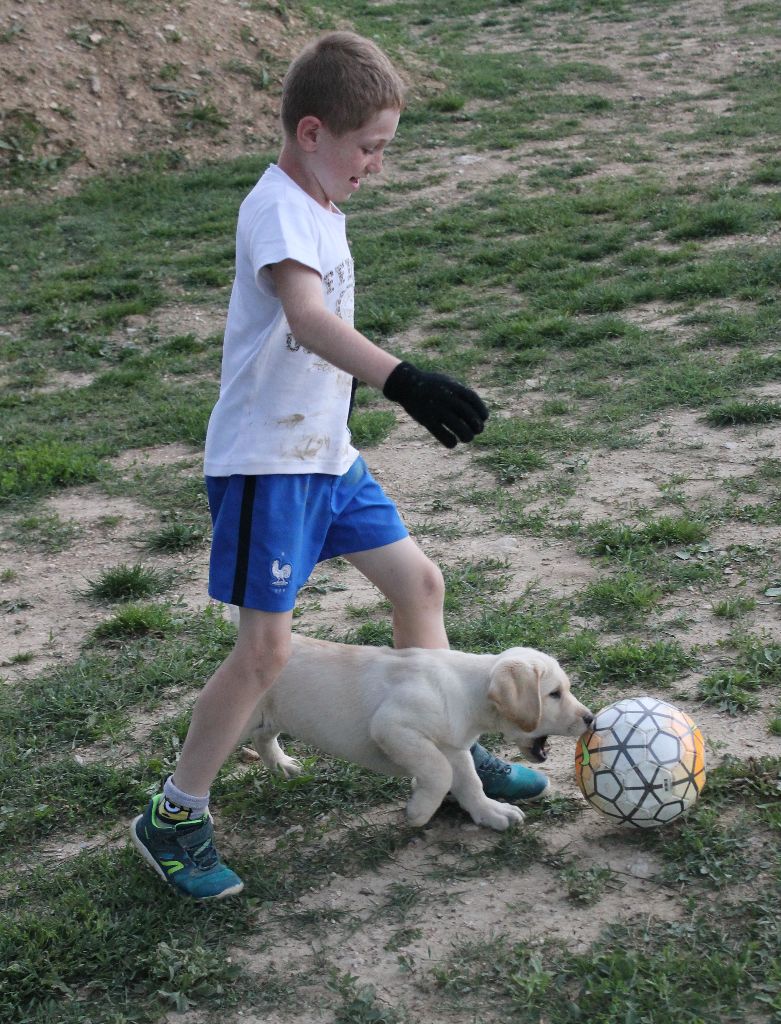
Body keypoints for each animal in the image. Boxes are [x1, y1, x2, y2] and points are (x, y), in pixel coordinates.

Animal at [244, 634, 593, 827]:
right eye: (554, 694)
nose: (590, 718)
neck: (467, 691)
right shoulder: (393, 728)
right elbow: (440, 773)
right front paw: (419, 812)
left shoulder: (454, 747)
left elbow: (470, 781)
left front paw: (490, 812)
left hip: (271, 716)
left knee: (264, 736)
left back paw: (282, 765)